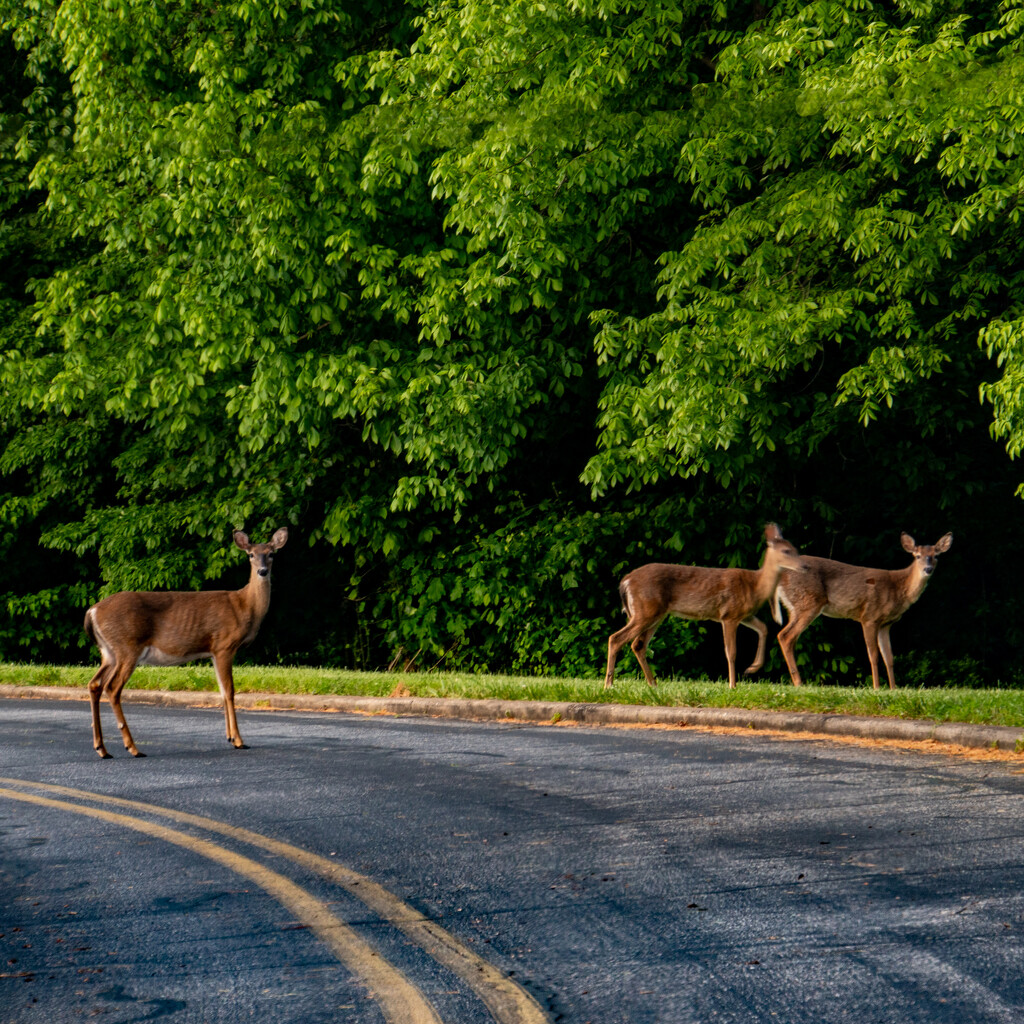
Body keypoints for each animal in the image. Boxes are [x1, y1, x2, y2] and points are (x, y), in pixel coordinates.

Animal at [80, 528, 284, 761]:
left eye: (271, 553)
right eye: (250, 554)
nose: (262, 571)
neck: (244, 606)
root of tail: (92, 611)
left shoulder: (213, 651)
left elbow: (222, 691)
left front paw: (230, 738)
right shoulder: (224, 645)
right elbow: (230, 691)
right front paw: (239, 741)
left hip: (109, 653)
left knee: (94, 684)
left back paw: (102, 749)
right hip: (128, 647)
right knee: (112, 688)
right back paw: (132, 748)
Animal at [602, 528, 802, 688]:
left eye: (795, 548)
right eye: (786, 551)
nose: (804, 566)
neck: (755, 585)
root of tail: (625, 582)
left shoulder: (744, 615)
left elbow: (764, 628)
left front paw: (752, 668)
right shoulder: (729, 615)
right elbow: (731, 652)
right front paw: (732, 685)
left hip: (654, 614)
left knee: (638, 645)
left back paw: (653, 684)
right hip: (645, 611)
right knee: (616, 638)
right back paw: (609, 684)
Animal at [774, 532, 950, 692]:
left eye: (936, 556)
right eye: (917, 556)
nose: (928, 569)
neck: (899, 589)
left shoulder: (886, 624)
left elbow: (889, 658)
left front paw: (893, 689)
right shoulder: (870, 616)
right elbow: (874, 655)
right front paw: (877, 688)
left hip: (794, 606)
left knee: (789, 637)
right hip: (809, 602)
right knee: (785, 636)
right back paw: (799, 683)